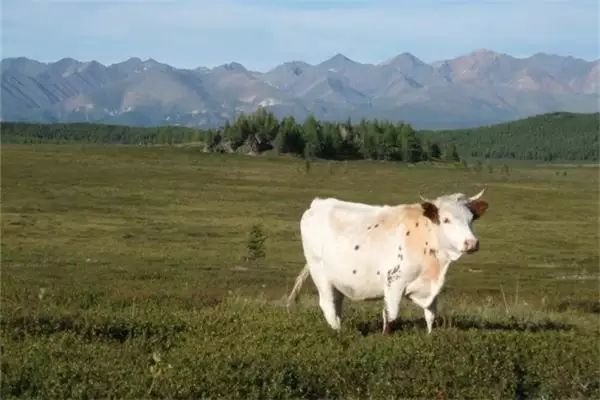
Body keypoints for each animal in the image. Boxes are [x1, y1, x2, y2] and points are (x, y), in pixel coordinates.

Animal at [284, 189, 488, 332]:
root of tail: (317, 204)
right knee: (328, 305)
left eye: (471, 219)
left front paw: (430, 337)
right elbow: (391, 315)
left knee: (337, 304)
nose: (471, 243)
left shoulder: (431, 287)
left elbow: (430, 316)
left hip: (339, 280)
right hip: (320, 273)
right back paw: (338, 333)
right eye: (446, 219)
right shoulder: (393, 282)